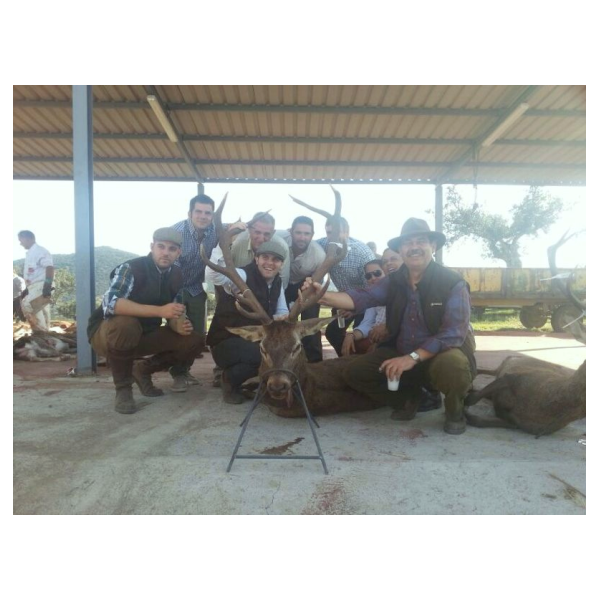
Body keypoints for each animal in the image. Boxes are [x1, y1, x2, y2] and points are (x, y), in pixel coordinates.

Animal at [464, 232, 586, 436]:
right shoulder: (513, 378)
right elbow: (473, 398)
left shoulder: (520, 425)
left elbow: (477, 416)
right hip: (507, 362)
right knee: (488, 370)